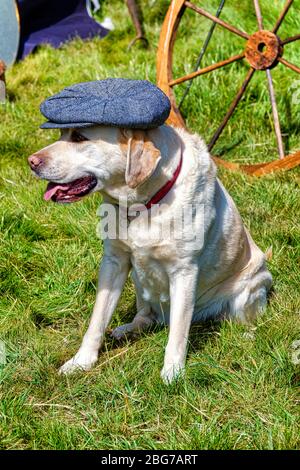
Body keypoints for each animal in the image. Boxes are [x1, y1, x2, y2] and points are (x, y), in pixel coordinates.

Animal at [28, 125, 272, 382]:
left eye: (79, 137)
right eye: (61, 134)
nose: (31, 161)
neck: (141, 204)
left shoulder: (184, 271)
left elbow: (178, 332)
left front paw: (173, 373)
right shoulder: (114, 262)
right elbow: (97, 320)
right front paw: (81, 361)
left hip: (249, 290)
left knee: (240, 320)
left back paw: (247, 336)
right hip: (139, 281)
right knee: (145, 317)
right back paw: (126, 330)